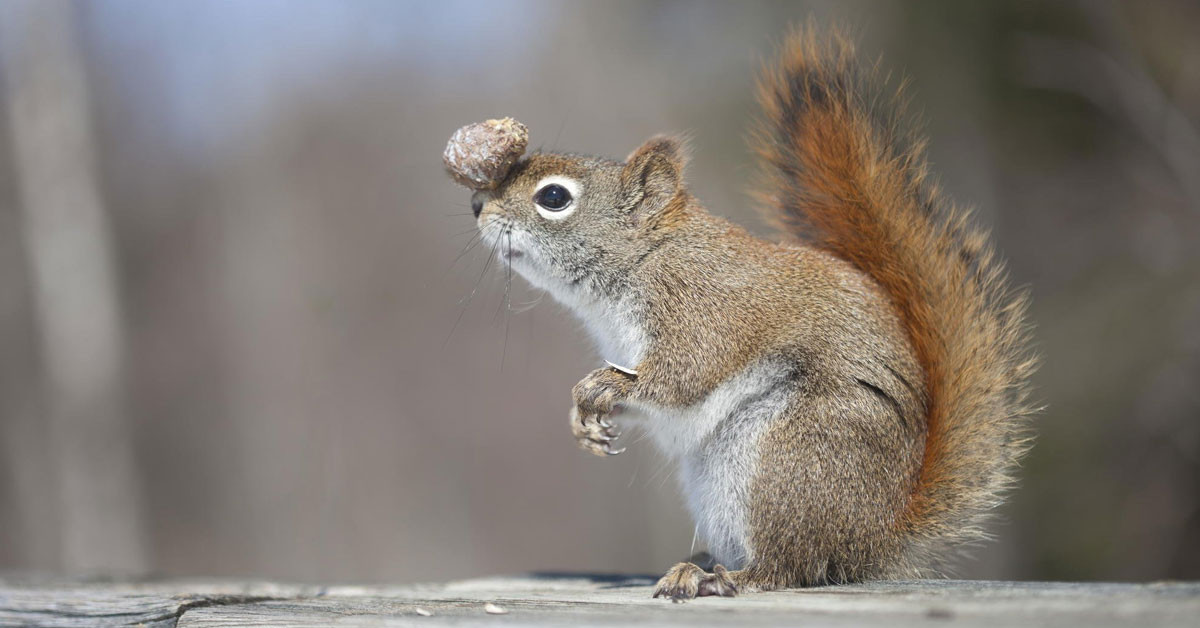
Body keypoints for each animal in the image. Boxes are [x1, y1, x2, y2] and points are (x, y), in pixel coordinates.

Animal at [441, 27, 1032, 602]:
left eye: (554, 198)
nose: (477, 208)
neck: (644, 258)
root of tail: (875, 539)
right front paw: (583, 421)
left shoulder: (708, 310)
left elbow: (682, 374)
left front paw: (597, 389)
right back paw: (701, 563)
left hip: (788, 459)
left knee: (791, 567)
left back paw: (726, 577)